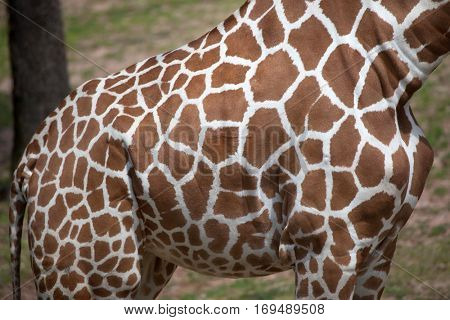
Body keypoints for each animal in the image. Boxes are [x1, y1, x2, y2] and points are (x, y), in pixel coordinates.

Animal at [8, 0, 448, 300]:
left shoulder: (380, 244)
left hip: (142, 263)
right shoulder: (325, 242)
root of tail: (28, 161)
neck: (396, 62)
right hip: (88, 273)